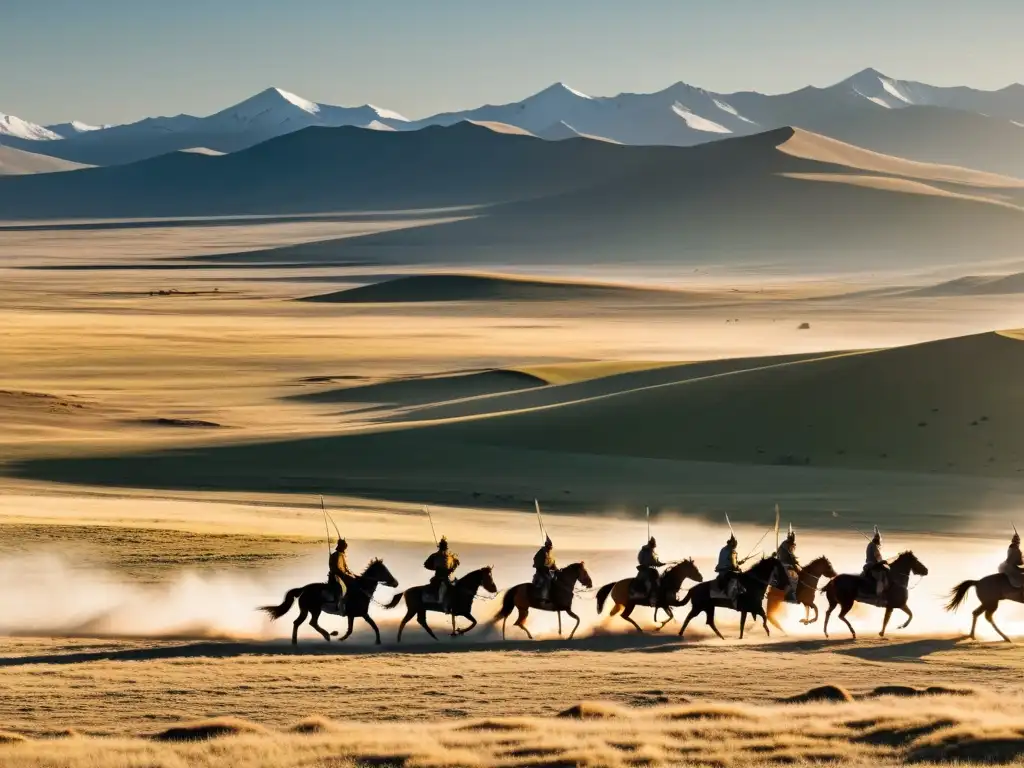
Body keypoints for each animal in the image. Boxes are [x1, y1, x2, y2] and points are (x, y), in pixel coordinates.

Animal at [258, 561, 397, 647]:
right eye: (384, 571)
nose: (395, 582)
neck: (361, 590)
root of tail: (304, 589)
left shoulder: (352, 615)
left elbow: (352, 629)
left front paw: (341, 638)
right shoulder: (362, 614)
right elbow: (373, 626)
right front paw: (378, 641)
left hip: (307, 610)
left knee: (300, 622)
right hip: (314, 610)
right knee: (309, 623)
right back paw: (325, 636)